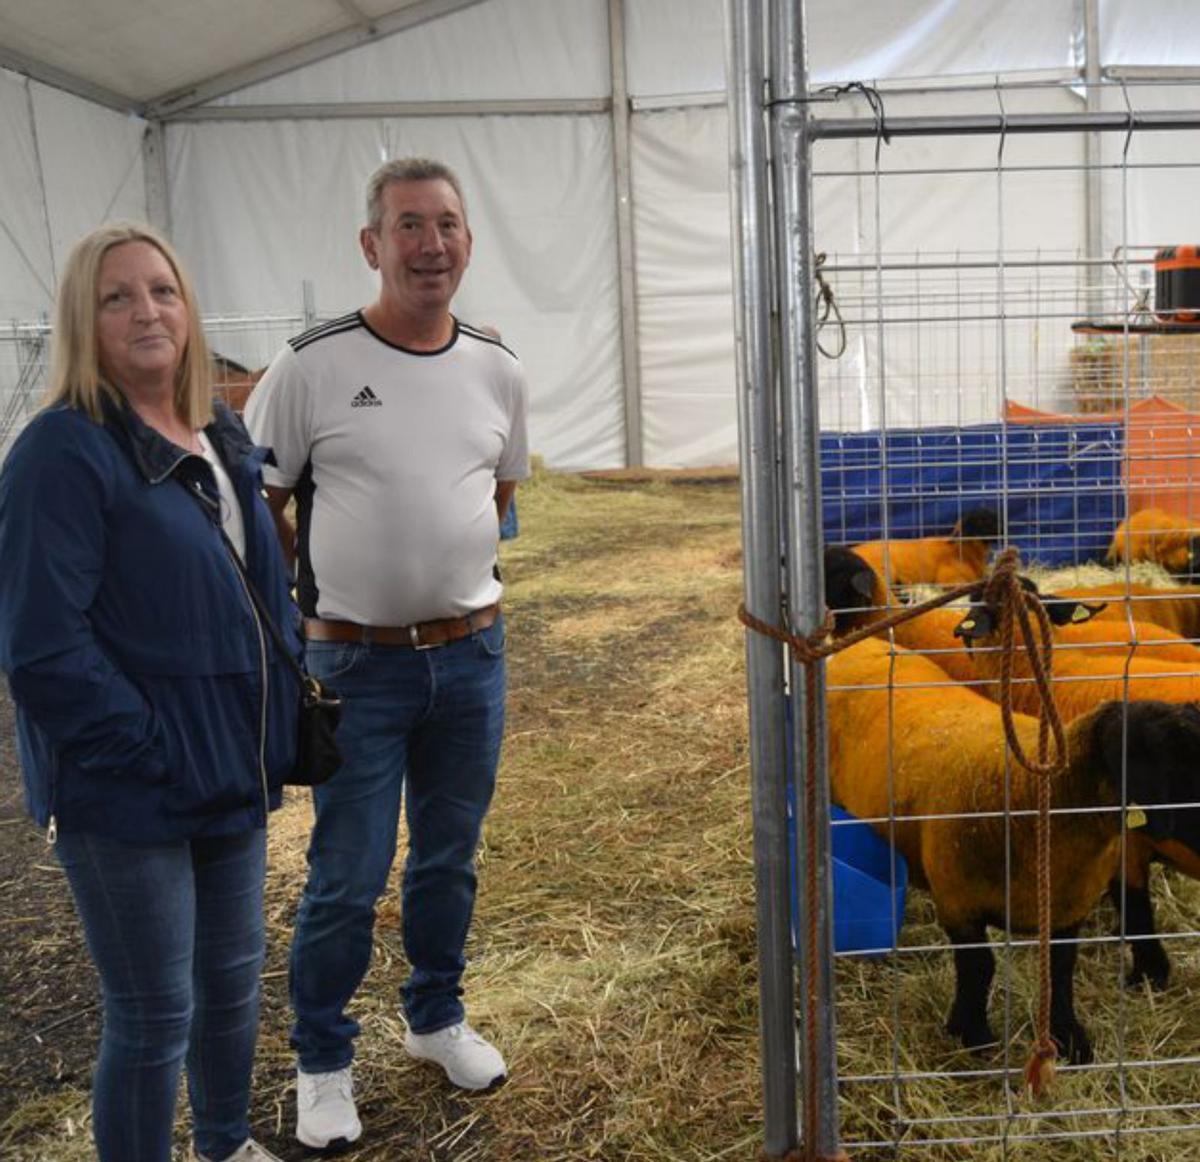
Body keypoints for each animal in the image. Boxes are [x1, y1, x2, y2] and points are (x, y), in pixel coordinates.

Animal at [830, 633, 1200, 1061]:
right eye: (1165, 760)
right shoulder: (958, 901)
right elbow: (979, 967)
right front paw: (972, 1036)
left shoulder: (1066, 906)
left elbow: (1060, 971)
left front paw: (1068, 1039)